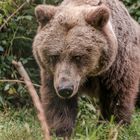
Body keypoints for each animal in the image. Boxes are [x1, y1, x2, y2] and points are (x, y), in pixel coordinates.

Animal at [32, 0, 140, 137]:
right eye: (54, 55)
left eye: (77, 56)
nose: (65, 89)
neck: (90, 74)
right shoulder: (53, 74)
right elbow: (57, 102)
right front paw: (61, 130)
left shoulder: (116, 68)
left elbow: (116, 97)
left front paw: (112, 127)